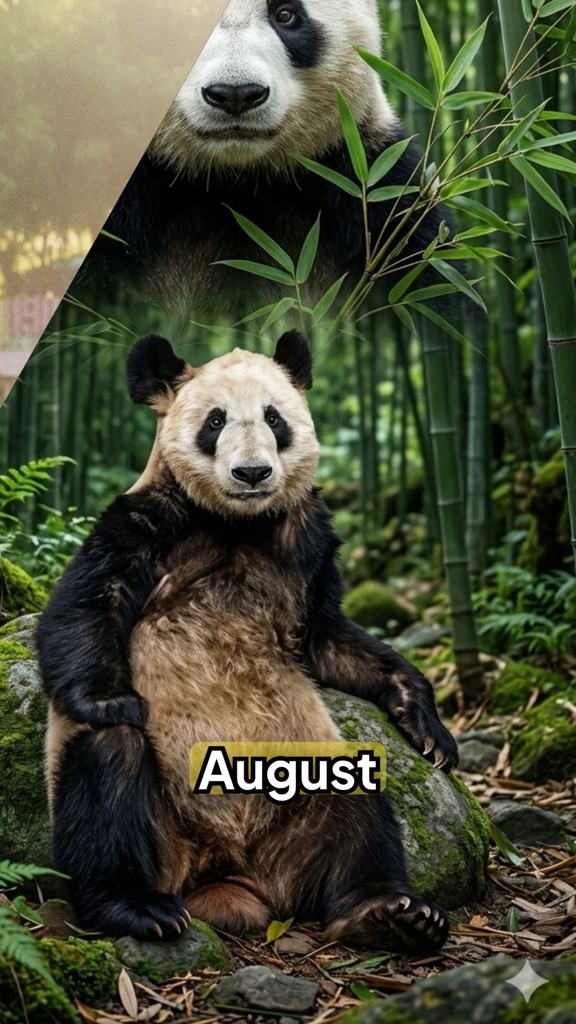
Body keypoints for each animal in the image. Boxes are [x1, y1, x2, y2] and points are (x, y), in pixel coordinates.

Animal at [37, 331, 458, 950]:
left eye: (274, 417)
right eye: (215, 421)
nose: (253, 473)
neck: (240, 521)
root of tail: (227, 868)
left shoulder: (307, 541)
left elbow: (330, 640)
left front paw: (429, 729)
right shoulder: (149, 518)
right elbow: (84, 605)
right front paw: (111, 699)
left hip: (304, 780)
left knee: (357, 799)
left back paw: (390, 914)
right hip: (158, 825)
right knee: (107, 779)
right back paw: (137, 907)